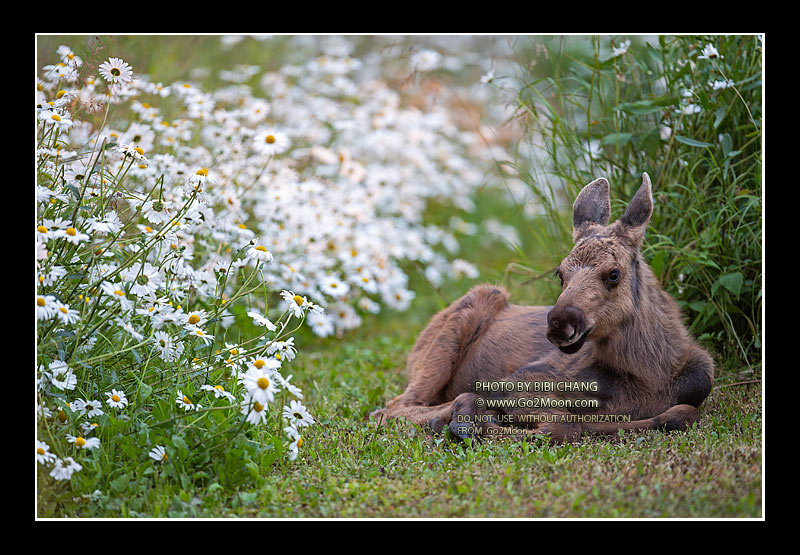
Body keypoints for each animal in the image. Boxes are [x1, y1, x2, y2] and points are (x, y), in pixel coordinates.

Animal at [370, 173, 714, 443]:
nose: (561, 322)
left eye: (614, 274)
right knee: (391, 407)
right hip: (469, 312)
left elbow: (682, 413)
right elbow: (564, 425)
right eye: (560, 273)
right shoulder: (518, 380)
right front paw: (467, 421)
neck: (649, 377)